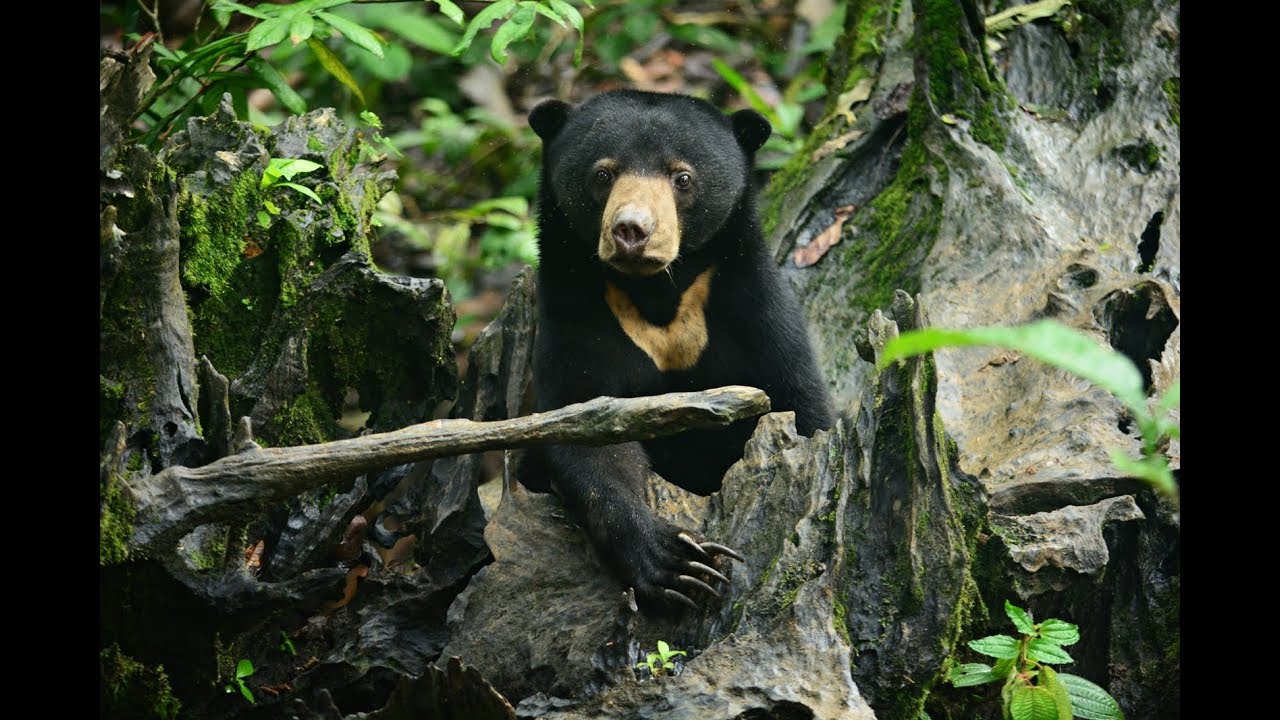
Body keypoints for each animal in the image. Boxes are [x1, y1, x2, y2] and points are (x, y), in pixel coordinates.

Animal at [518, 89, 834, 613]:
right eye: (603, 174)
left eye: (682, 177)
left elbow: (801, 407)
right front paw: (680, 564)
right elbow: (584, 430)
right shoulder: (576, 315)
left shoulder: (754, 310)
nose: (632, 230)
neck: (657, 294)